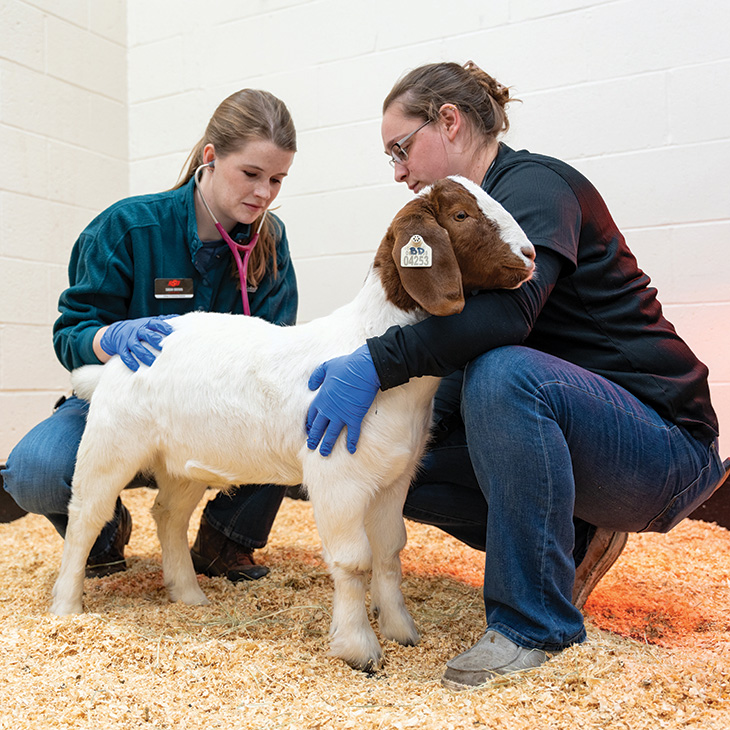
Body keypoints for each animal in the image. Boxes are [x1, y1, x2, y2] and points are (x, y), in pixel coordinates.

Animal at [51, 175, 536, 671]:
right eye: (460, 215)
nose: (530, 255)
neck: (365, 343)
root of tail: (116, 360)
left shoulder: (393, 480)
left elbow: (389, 552)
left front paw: (402, 630)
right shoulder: (338, 478)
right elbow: (354, 561)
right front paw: (359, 648)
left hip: (185, 462)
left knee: (169, 515)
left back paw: (188, 595)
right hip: (111, 444)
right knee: (86, 515)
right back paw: (67, 606)